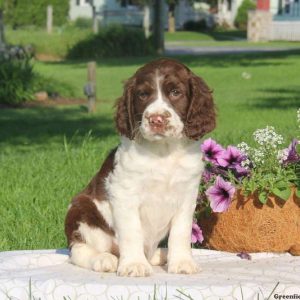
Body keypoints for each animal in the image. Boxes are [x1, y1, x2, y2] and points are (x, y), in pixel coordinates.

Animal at [65, 57, 216, 278]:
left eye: (176, 92)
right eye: (143, 94)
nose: (156, 120)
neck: (164, 151)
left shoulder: (187, 194)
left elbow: (181, 232)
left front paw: (182, 262)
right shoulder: (124, 192)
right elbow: (131, 231)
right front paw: (134, 265)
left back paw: (161, 255)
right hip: (82, 209)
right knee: (78, 250)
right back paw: (104, 259)